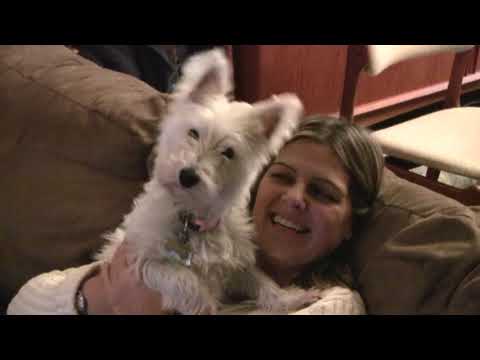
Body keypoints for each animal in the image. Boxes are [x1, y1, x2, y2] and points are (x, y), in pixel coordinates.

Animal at [96, 48, 318, 316]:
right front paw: (205, 302)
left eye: (228, 153)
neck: (191, 218)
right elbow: (180, 275)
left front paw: (291, 298)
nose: (187, 176)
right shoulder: (141, 256)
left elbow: (261, 279)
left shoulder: (236, 264)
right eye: (193, 133)